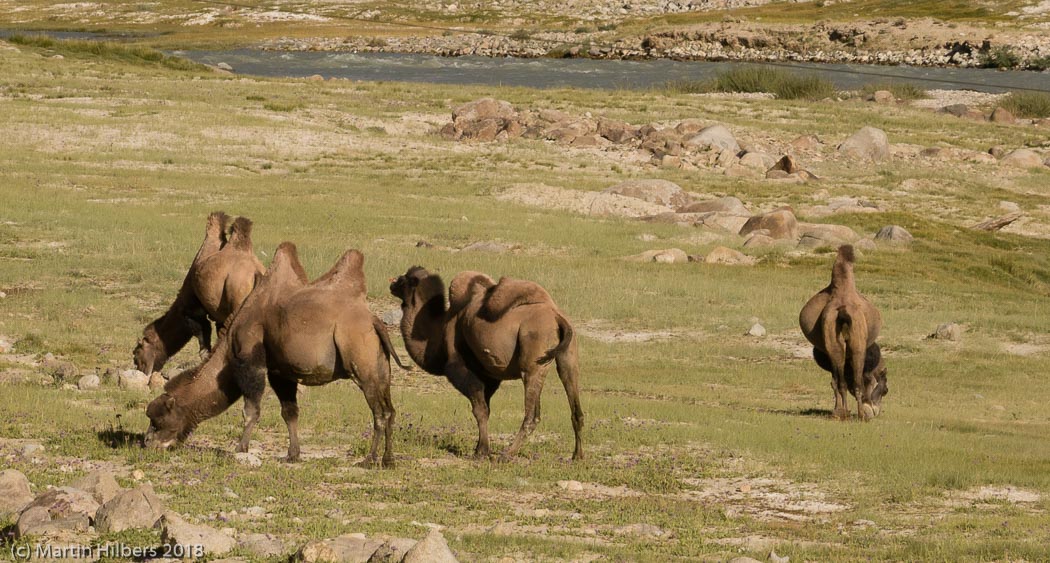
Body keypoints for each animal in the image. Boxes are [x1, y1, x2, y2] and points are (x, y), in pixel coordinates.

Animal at [133, 212, 265, 375]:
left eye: (137, 355)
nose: (142, 371)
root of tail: (256, 273)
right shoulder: (219, 315)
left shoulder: (193, 310)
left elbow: (203, 336)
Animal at [145, 242, 407, 466]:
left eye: (159, 420)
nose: (147, 442)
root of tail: (374, 322)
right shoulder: (281, 372)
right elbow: (289, 412)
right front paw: (292, 454)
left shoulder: (251, 362)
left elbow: (251, 410)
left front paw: (240, 448)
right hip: (379, 366)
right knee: (391, 410)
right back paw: (388, 460)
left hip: (361, 360)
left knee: (379, 412)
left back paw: (370, 459)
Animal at [389, 266, 583, 461]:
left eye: (404, 280)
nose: (392, 284)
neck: (438, 330)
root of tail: (557, 318)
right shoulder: (489, 376)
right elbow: (486, 409)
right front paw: (479, 449)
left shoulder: (458, 367)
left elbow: (479, 409)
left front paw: (481, 452)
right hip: (568, 358)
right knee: (575, 404)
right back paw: (577, 456)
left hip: (532, 362)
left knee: (531, 415)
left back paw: (506, 454)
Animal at [799, 245, 888, 421]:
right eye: (885, 390)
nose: (875, 411)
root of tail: (843, 310)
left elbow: (835, 381)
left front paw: (837, 410)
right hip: (857, 345)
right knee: (856, 382)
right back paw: (860, 415)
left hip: (834, 343)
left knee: (840, 382)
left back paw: (842, 413)